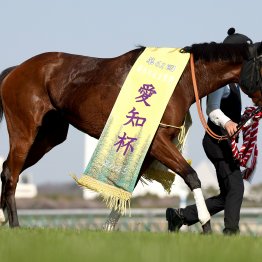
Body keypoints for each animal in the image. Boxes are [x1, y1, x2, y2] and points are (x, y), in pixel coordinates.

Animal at [0, 42, 262, 232]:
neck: (181, 81)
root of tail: (16, 70)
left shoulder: (146, 149)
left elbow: (129, 188)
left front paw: (108, 229)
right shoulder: (157, 142)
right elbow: (192, 176)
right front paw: (206, 224)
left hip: (49, 137)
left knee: (6, 169)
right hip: (24, 130)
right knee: (12, 173)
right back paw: (15, 225)